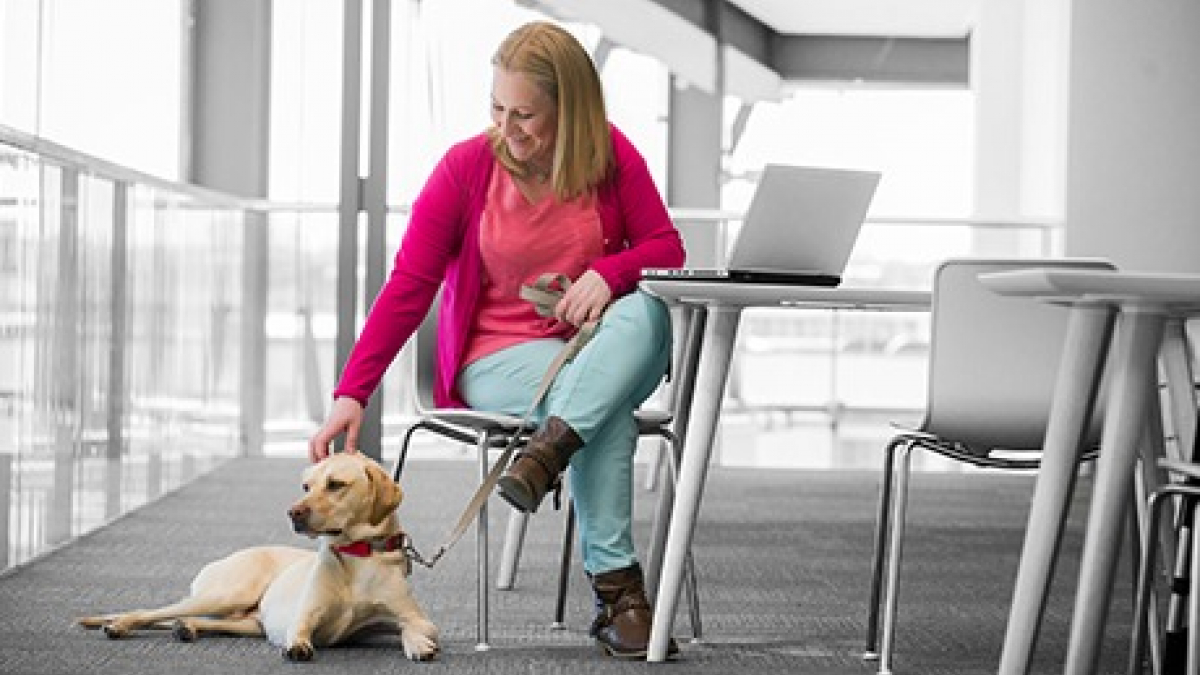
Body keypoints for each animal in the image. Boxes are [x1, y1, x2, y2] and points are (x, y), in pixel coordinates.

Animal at [76, 449, 441, 658]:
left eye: (336, 484)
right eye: (306, 486)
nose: (293, 513)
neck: (356, 554)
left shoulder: (418, 619)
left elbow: (413, 628)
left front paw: (417, 644)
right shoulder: (304, 615)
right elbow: (300, 630)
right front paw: (298, 645)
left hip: (251, 622)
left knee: (200, 621)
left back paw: (186, 627)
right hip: (227, 594)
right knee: (150, 611)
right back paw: (120, 624)